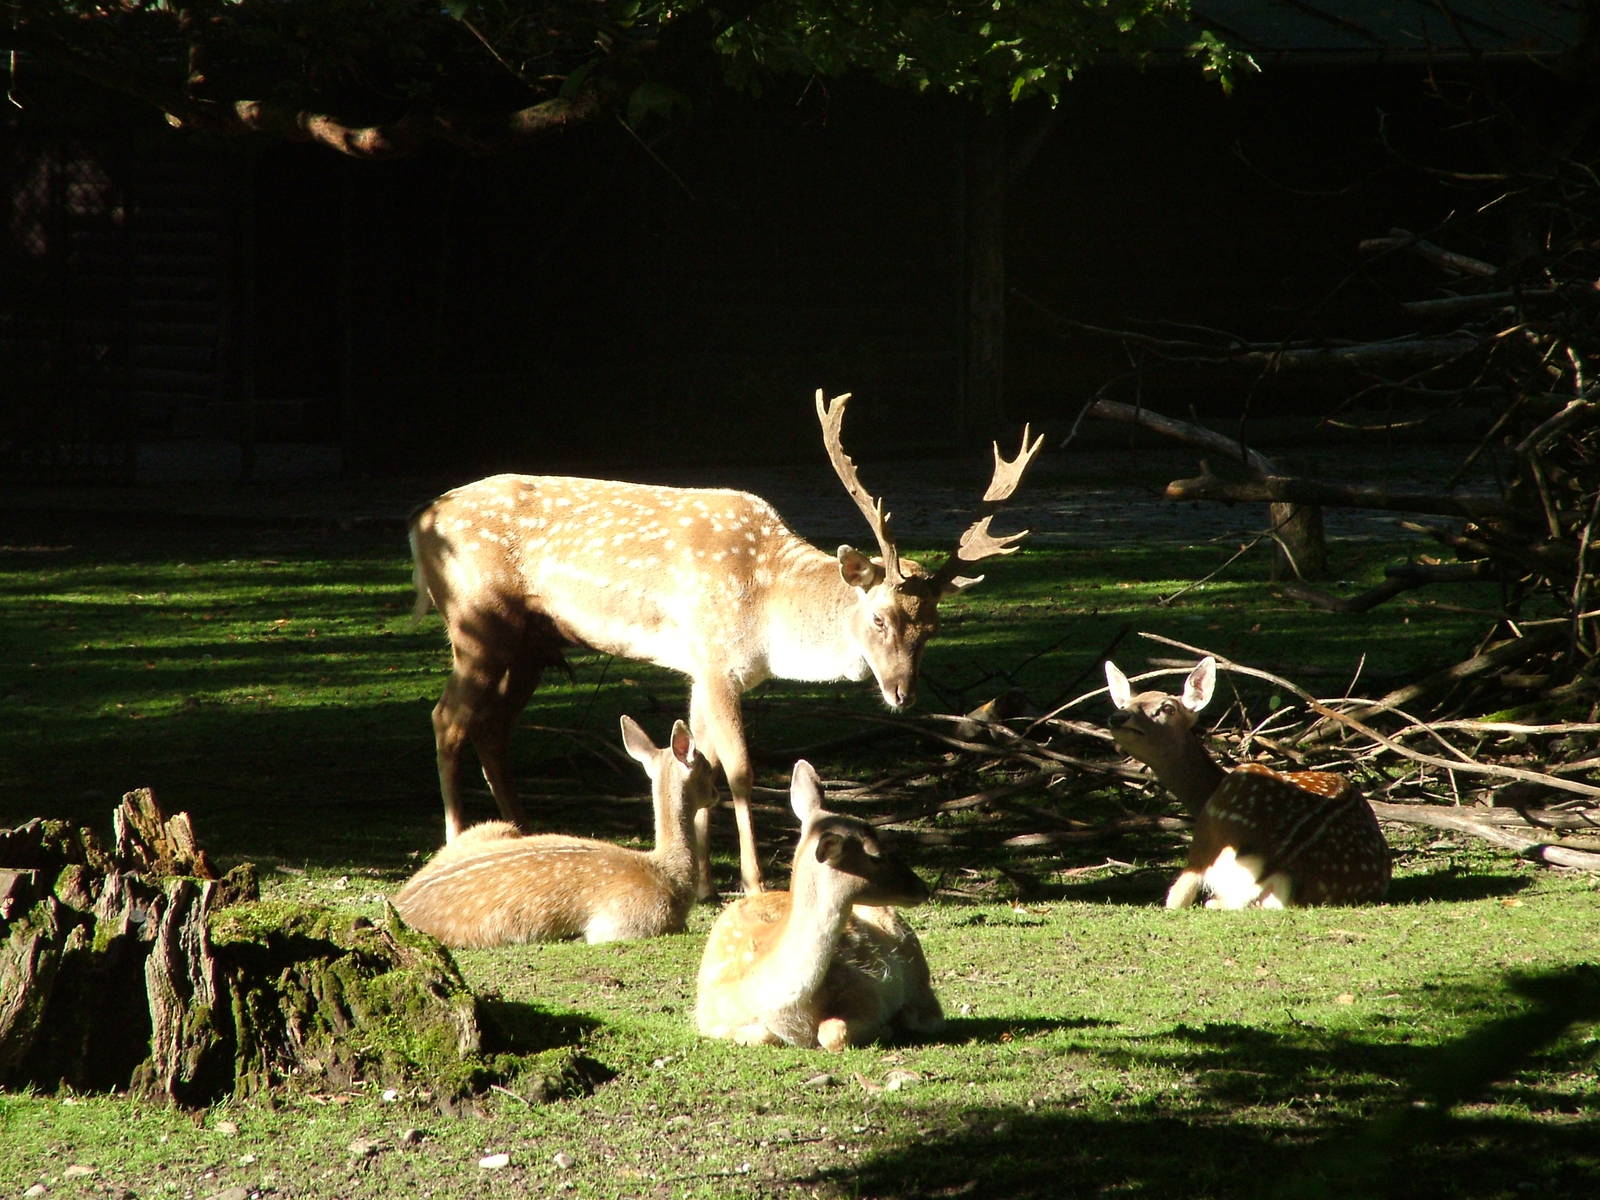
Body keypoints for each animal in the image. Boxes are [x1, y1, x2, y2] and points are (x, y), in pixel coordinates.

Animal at [390, 715, 717, 946]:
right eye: (707, 767)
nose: (716, 793)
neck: (670, 876)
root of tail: (400, 903)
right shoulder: (624, 923)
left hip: (489, 829)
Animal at [409, 389, 1043, 897]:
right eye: (881, 618)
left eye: (932, 627)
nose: (902, 694)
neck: (768, 611)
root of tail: (416, 524)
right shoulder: (715, 660)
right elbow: (737, 769)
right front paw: (753, 880)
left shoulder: (697, 669)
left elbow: (700, 761)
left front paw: (706, 882)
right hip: (475, 621)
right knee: (447, 718)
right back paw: (456, 841)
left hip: (527, 646)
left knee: (491, 727)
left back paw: (522, 832)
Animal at [694, 759, 944, 1050]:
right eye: (876, 856)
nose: (922, 888)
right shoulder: (710, 1018)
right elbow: (763, 1035)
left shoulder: (868, 991)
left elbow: (832, 1031)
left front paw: (886, 1027)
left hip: (914, 962)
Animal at [1103, 656, 1391, 909]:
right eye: (1124, 704)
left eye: (1167, 708)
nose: (1117, 717)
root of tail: (1275, 863)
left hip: (1206, 839)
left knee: (1180, 899)